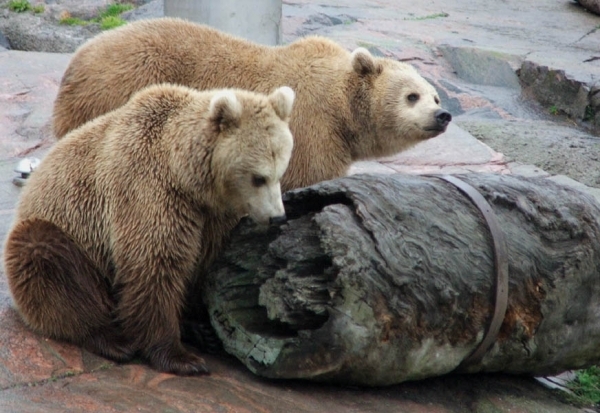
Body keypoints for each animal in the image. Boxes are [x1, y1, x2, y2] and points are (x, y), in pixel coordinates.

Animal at [4, 82, 296, 374]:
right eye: (258, 178)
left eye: (280, 172)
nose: (278, 217)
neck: (187, 176)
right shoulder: (147, 191)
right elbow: (154, 265)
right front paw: (182, 357)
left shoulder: (211, 217)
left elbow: (201, 263)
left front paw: (200, 326)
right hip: (62, 234)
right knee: (50, 265)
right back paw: (112, 339)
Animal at [54, 16, 452, 190]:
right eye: (411, 95)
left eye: (435, 94)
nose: (442, 114)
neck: (340, 104)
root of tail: (77, 60)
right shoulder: (313, 130)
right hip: (116, 87)